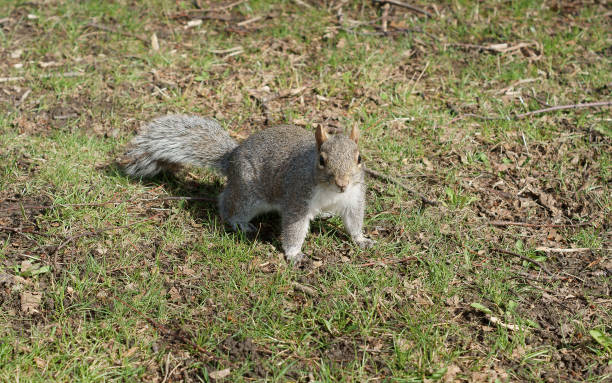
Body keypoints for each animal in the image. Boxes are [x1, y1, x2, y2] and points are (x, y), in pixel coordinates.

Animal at [121, 114, 372, 264]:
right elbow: (294, 228)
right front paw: (294, 254)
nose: (342, 183)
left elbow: (353, 221)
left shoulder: (354, 198)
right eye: (321, 160)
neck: (331, 192)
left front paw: (361, 239)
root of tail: (231, 158)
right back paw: (240, 223)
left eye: (359, 158)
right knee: (227, 204)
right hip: (248, 195)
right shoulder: (297, 197)